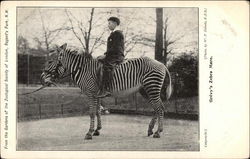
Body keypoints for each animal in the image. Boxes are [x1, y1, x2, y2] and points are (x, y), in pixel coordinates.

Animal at [40, 43, 172, 139]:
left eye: (50, 61)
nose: (42, 78)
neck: (84, 70)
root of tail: (162, 64)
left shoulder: (91, 94)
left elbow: (92, 112)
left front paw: (89, 133)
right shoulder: (97, 95)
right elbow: (98, 111)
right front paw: (97, 130)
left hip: (151, 88)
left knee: (160, 108)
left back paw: (158, 132)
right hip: (145, 90)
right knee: (156, 108)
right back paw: (150, 130)